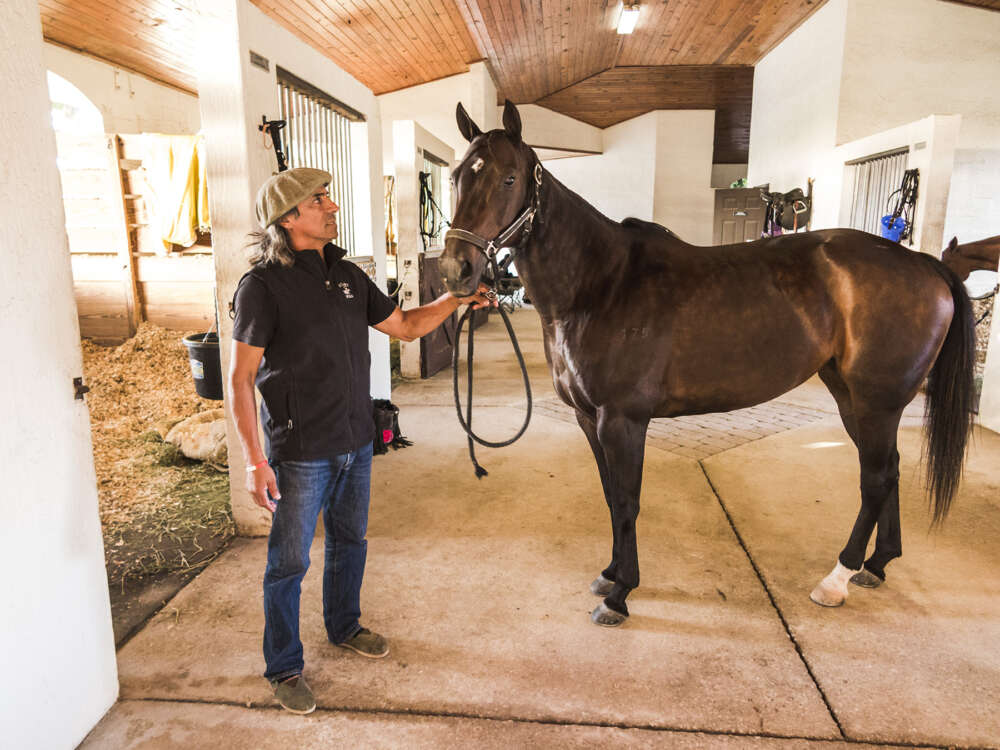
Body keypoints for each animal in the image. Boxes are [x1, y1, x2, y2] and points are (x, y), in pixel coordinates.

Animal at [444, 100, 976, 628]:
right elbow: (609, 494)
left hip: (876, 402)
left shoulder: (622, 420)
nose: (456, 270)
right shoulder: (586, 418)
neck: (601, 285)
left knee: (876, 479)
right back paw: (877, 564)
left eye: (509, 178)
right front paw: (610, 572)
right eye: (455, 176)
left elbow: (627, 500)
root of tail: (926, 264)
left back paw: (837, 578)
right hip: (851, 396)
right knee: (890, 471)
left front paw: (621, 593)